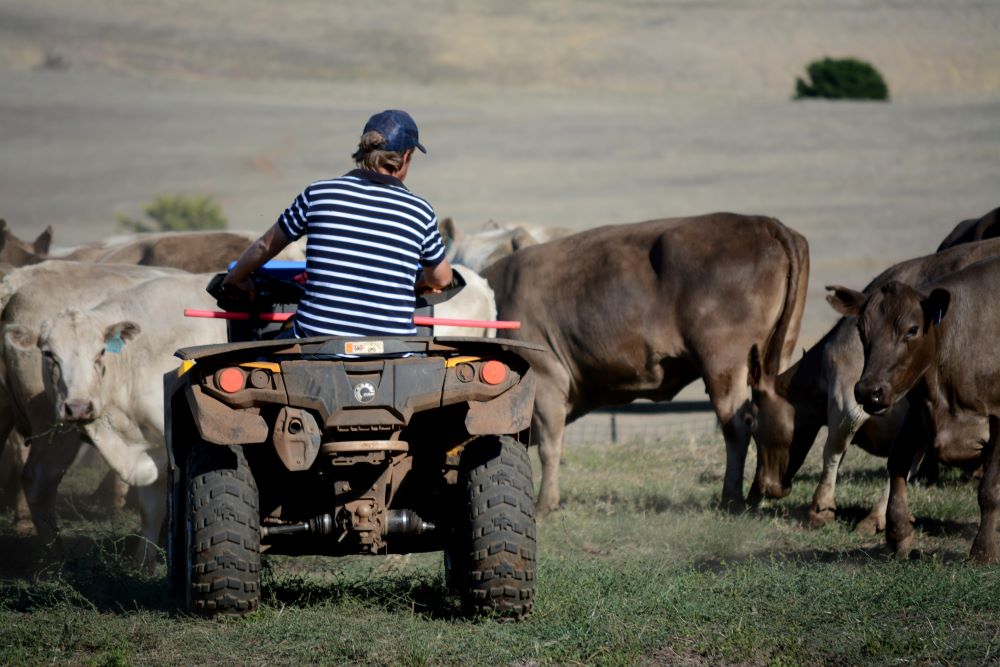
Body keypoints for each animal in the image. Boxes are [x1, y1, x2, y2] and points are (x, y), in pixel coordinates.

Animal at [486, 214, 812, 516]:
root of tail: (763, 223)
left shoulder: (546, 377)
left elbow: (549, 446)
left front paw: (544, 505)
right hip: (775, 358)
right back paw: (758, 493)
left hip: (724, 363)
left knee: (737, 427)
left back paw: (731, 498)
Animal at [752, 237, 1000, 528]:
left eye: (752, 422)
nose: (760, 488)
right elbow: (905, 463)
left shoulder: (848, 395)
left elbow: (834, 447)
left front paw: (821, 507)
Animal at [832, 256, 1000, 564]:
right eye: (861, 330)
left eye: (912, 329)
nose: (869, 390)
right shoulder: (919, 412)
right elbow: (897, 462)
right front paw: (898, 534)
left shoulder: (998, 417)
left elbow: (989, 488)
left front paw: (983, 552)